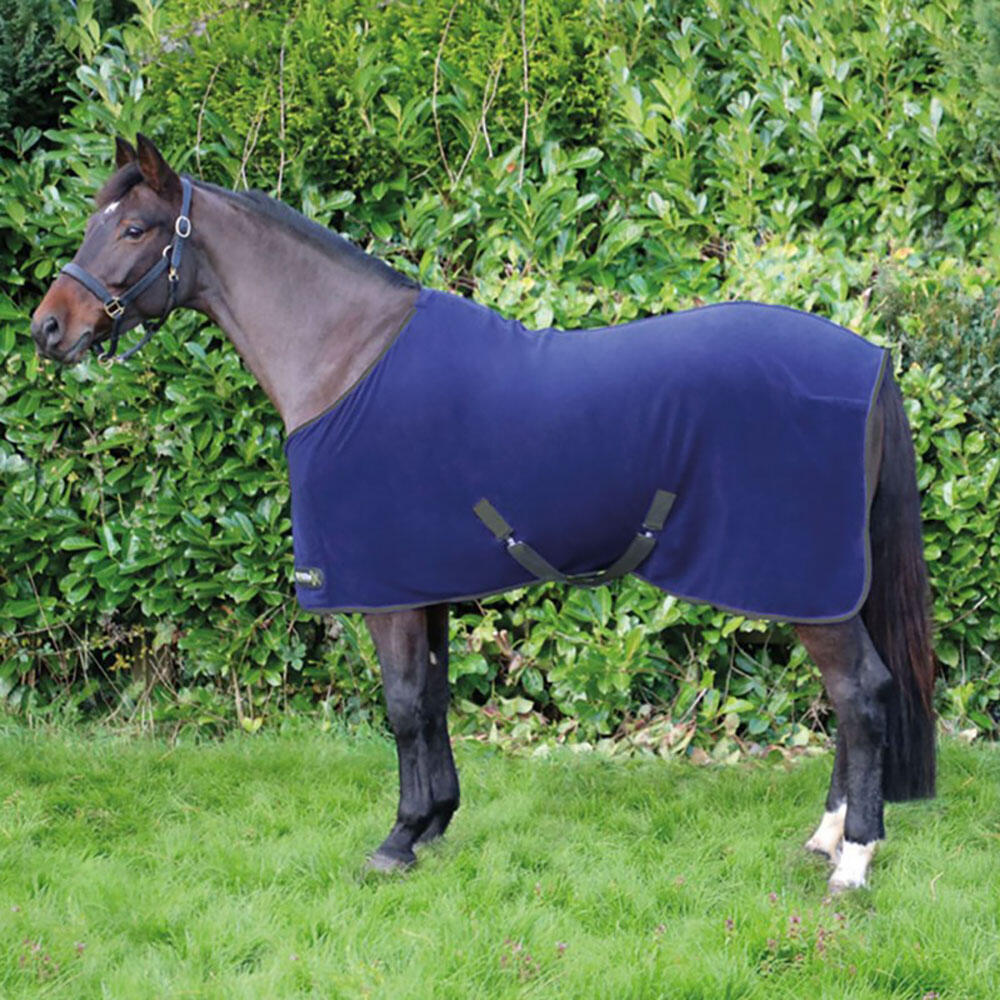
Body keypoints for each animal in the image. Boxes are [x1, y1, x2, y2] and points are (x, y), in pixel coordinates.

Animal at [31, 135, 937, 892]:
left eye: (137, 228)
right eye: (97, 222)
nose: (48, 328)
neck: (346, 360)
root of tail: (869, 359)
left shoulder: (386, 593)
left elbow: (401, 706)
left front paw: (397, 841)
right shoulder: (421, 585)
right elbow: (432, 701)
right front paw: (434, 824)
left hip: (805, 585)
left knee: (860, 695)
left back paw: (852, 861)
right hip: (830, 585)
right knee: (850, 702)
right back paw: (827, 836)